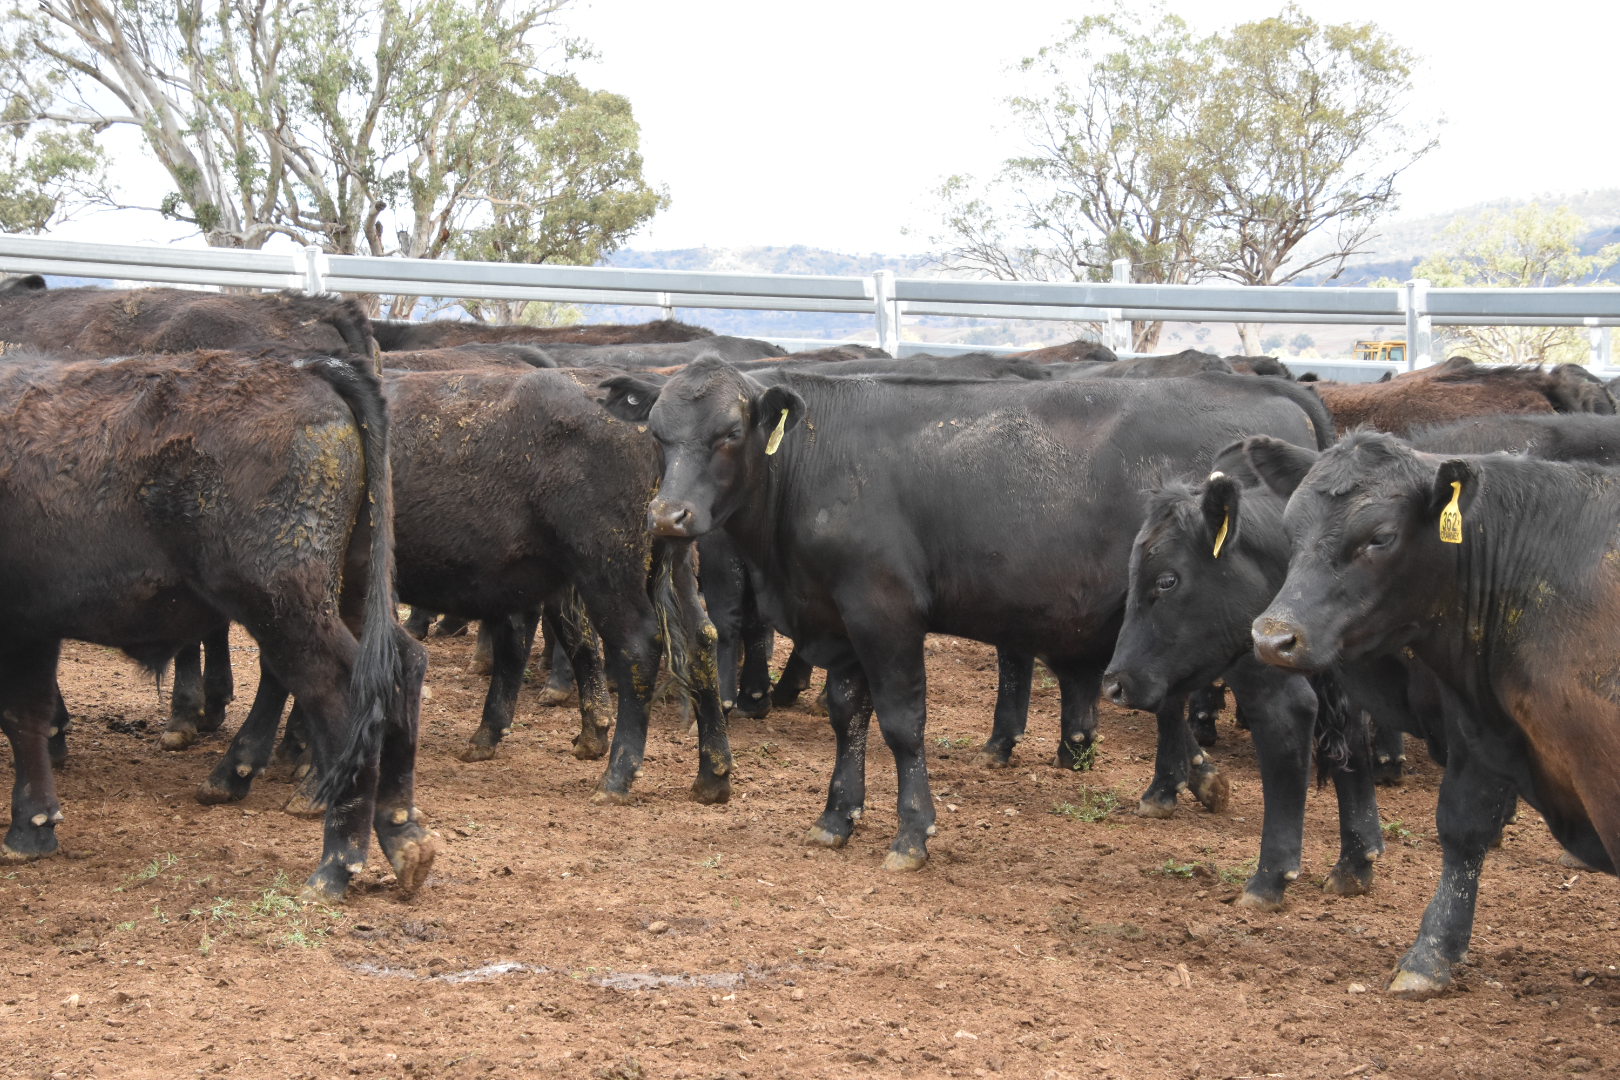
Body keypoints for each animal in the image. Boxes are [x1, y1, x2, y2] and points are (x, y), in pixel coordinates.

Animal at [0, 349, 430, 901]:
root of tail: (310, 371)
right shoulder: (34, 629)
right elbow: (30, 715)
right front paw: (35, 827)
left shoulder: (20, 627)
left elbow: (20, 716)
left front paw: (26, 831)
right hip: (346, 591)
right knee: (402, 663)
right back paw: (403, 835)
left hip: (284, 607)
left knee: (343, 694)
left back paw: (334, 865)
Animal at [606, 358, 1330, 868]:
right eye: (657, 435)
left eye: (731, 434)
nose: (669, 515)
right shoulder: (837, 622)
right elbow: (847, 717)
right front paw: (837, 818)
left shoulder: (884, 613)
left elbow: (902, 724)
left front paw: (911, 835)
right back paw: (1173, 787)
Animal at [1244, 430, 1620, 996]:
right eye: (1291, 530)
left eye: (1380, 537)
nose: (1272, 637)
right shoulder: (1482, 731)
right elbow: (1463, 829)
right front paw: (1432, 953)